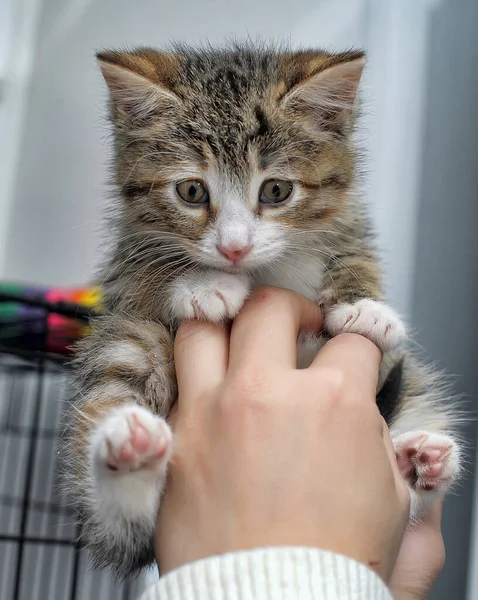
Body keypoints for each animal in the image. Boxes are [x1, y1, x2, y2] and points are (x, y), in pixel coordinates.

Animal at [64, 42, 464, 576]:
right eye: (191, 191)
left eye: (276, 191)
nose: (234, 249)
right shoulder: (123, 266)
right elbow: (145, 268)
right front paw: (204, 283)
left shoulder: (349, 218)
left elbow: (356, 251)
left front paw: (364, 306)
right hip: (130, 343)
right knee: (125, 527)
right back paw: (130, 450)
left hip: (411, 385)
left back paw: (419, 462)